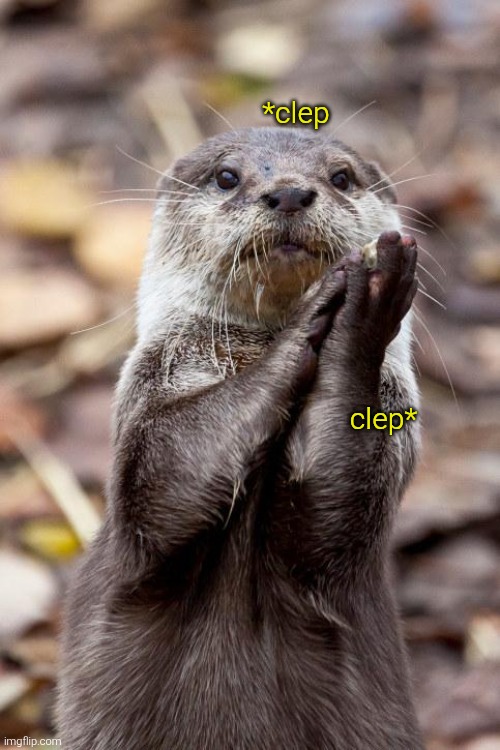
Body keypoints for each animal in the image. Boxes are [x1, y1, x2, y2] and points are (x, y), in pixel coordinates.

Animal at [58, 127, 424, 749]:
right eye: (227, 177)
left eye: (341, 177)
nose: (290, 193)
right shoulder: (148, 422)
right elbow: (166, 477)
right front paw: (335, 308)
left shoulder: (388, 443)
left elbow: (332, 508)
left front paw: (364, 304)